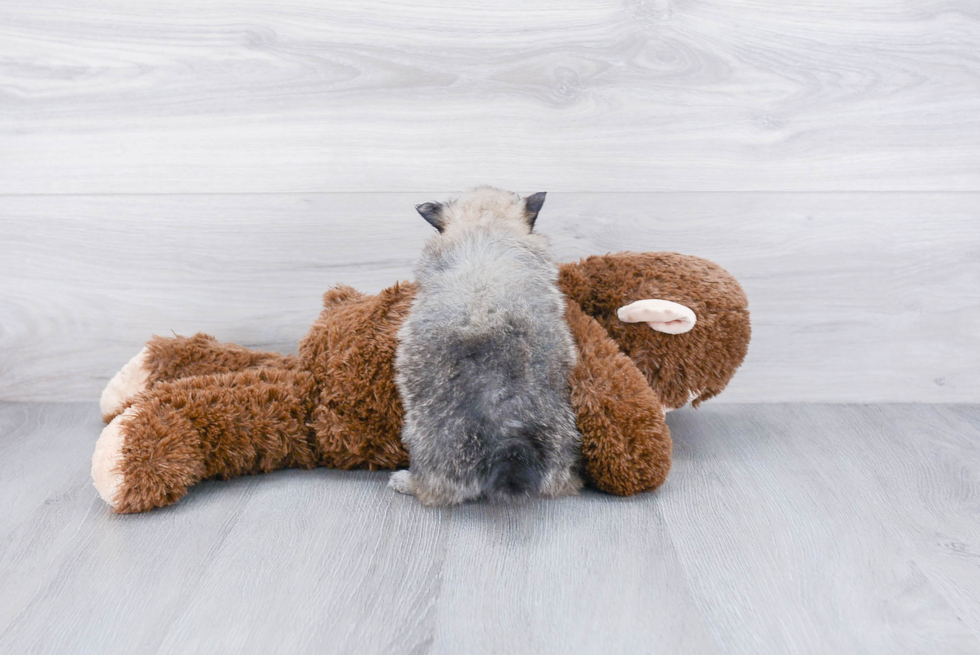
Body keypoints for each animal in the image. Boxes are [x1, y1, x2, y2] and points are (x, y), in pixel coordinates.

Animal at [388, 187, 580, 504]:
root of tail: (508, 440)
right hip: (560, 446)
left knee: (432, 487)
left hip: (427, 445)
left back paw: (404, 481)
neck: (487, 226)